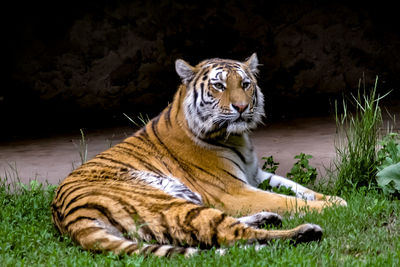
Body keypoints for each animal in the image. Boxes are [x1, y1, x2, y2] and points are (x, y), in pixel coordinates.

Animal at [50, 54, 346, 258]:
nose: (241, 107)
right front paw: (335, 206)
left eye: (245, 84)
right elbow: (286, 200)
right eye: (219, 86)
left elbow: (297, 188)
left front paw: (332, 198)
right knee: (232, 235)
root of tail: (69, 217)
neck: (237, 137)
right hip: (169, 204)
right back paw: (305, 232)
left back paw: (267, 218)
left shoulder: (255, 174)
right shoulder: (233, 190)